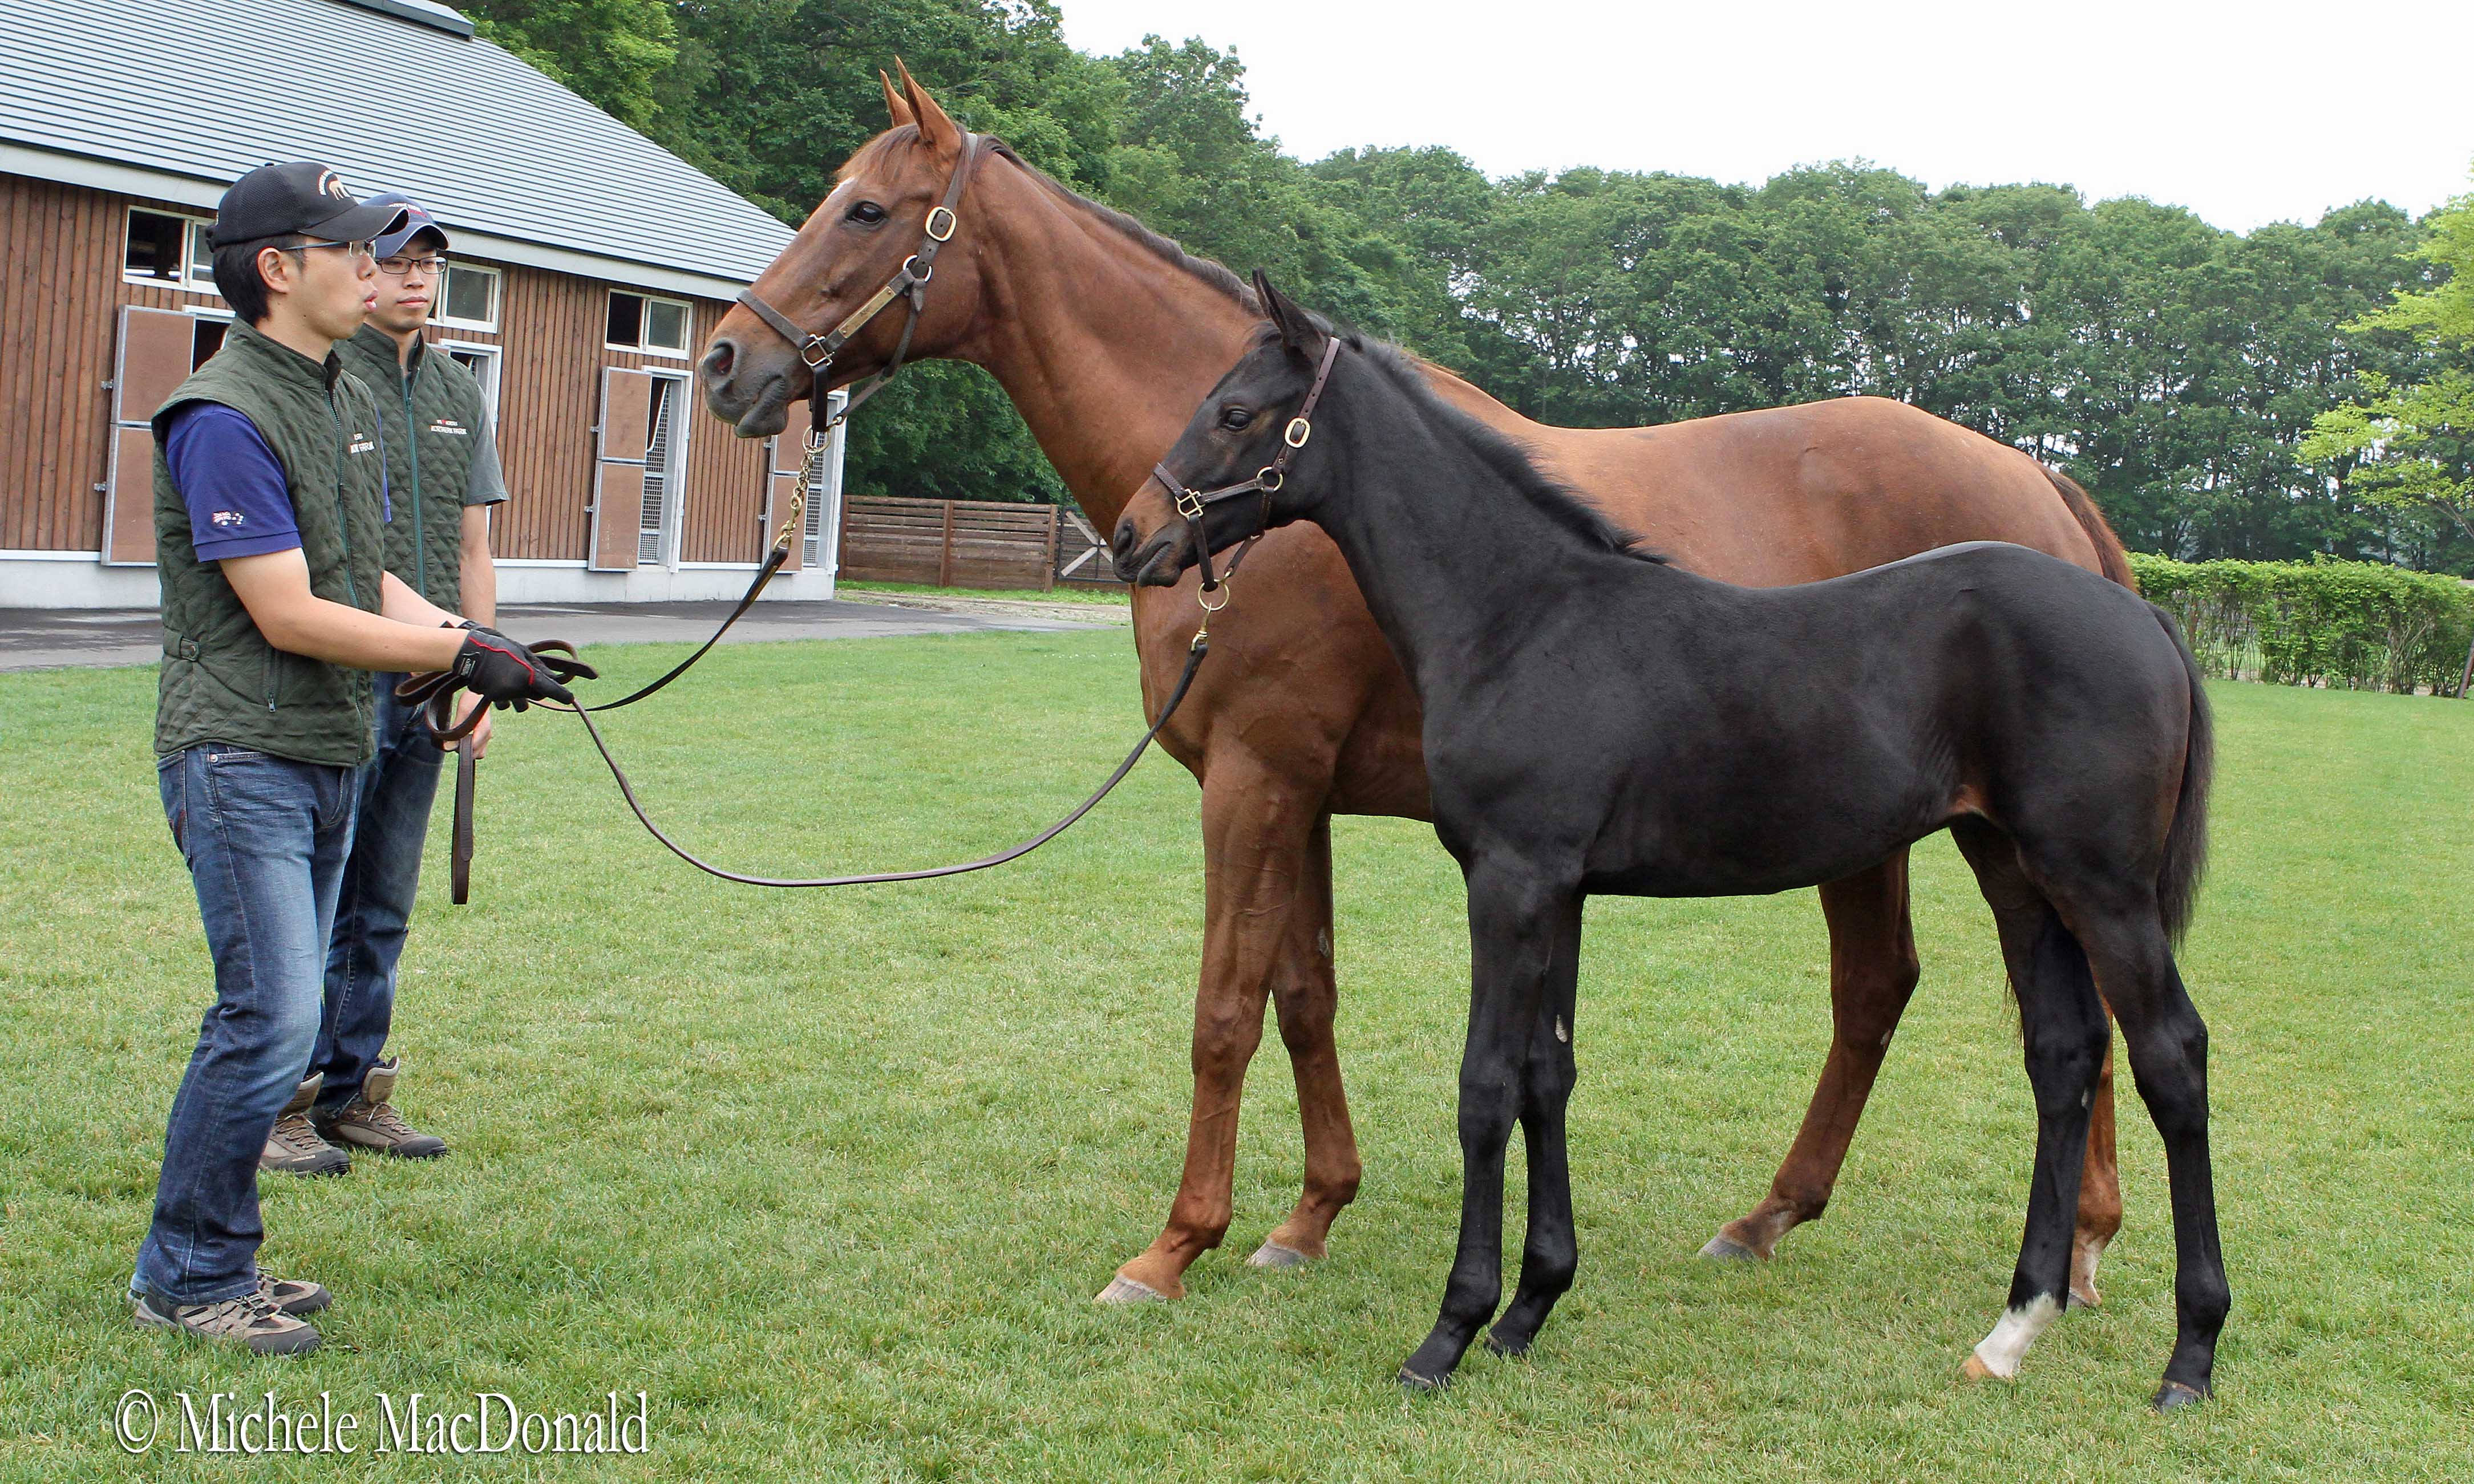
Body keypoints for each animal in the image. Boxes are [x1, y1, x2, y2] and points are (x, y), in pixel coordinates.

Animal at [1113, 272, 2236, 1405]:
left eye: (1235, 413)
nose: (1130, 536)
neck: (1522, 617)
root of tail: (2143, 615)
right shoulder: (1559, 890)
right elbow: (1546, 1078)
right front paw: (1529, 1309)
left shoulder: (1509, 881)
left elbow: (1484, 1087)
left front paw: (1448, 1333)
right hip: (2015, 871)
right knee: (2063, 1051)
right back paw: (2012, 1327)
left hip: (2099, 885)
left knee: (2169, 1053)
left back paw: (2188, 1351)